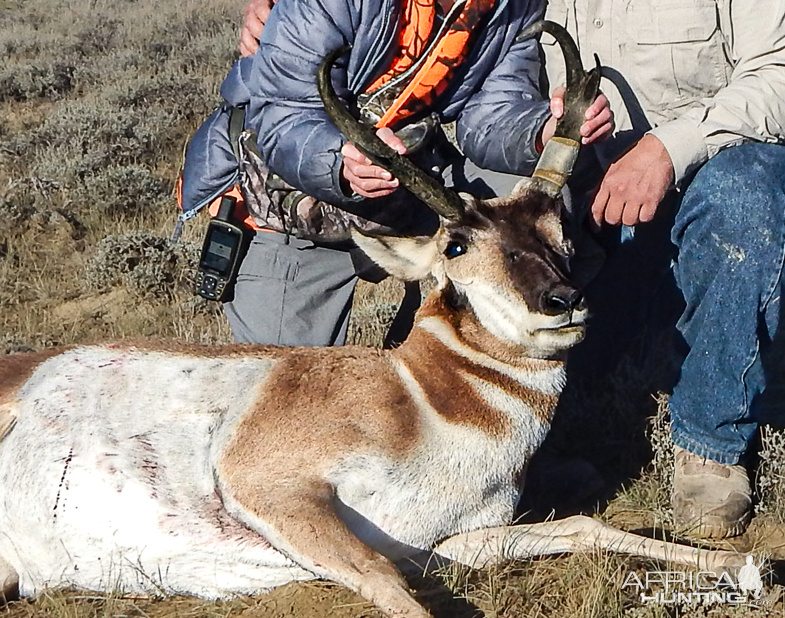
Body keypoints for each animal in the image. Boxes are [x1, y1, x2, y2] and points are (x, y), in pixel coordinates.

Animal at [0, 20, 740, 616]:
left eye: (557, 228)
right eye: (456, 245)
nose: (562, 302)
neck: (419, 398)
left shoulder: (450, 540)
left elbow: (585, 527)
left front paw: (738, 565)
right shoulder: (272, 487)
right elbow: (387, 583)